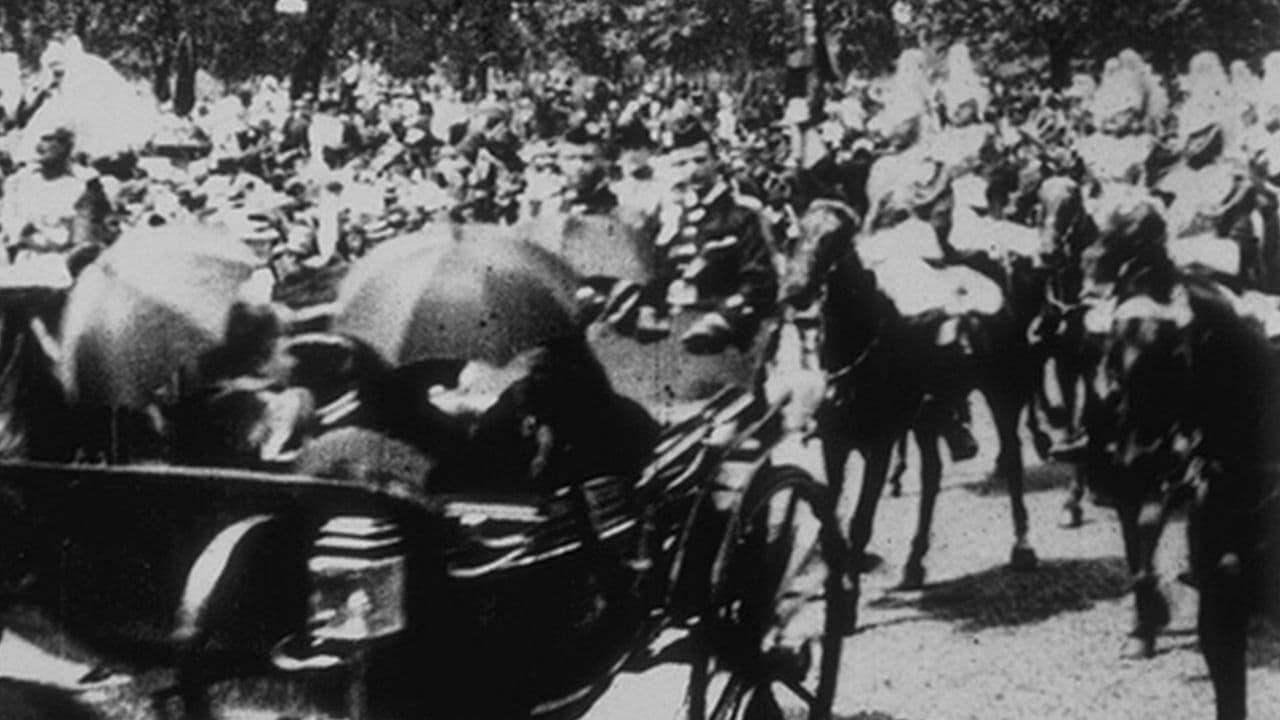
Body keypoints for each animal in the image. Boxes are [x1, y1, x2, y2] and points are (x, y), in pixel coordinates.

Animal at [778, 198, 1039, 607]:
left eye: (835, 242)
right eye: (793, 237)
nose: (795, 292)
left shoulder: (881, 445)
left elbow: (860, 521)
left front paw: (848, 592)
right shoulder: (835, 444)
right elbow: (830, 516)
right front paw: (832, 582)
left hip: (1002, 393)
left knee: (1011, 460)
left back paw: (1023, 547)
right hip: (927, 420)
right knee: (932, 476)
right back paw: (914, 565)